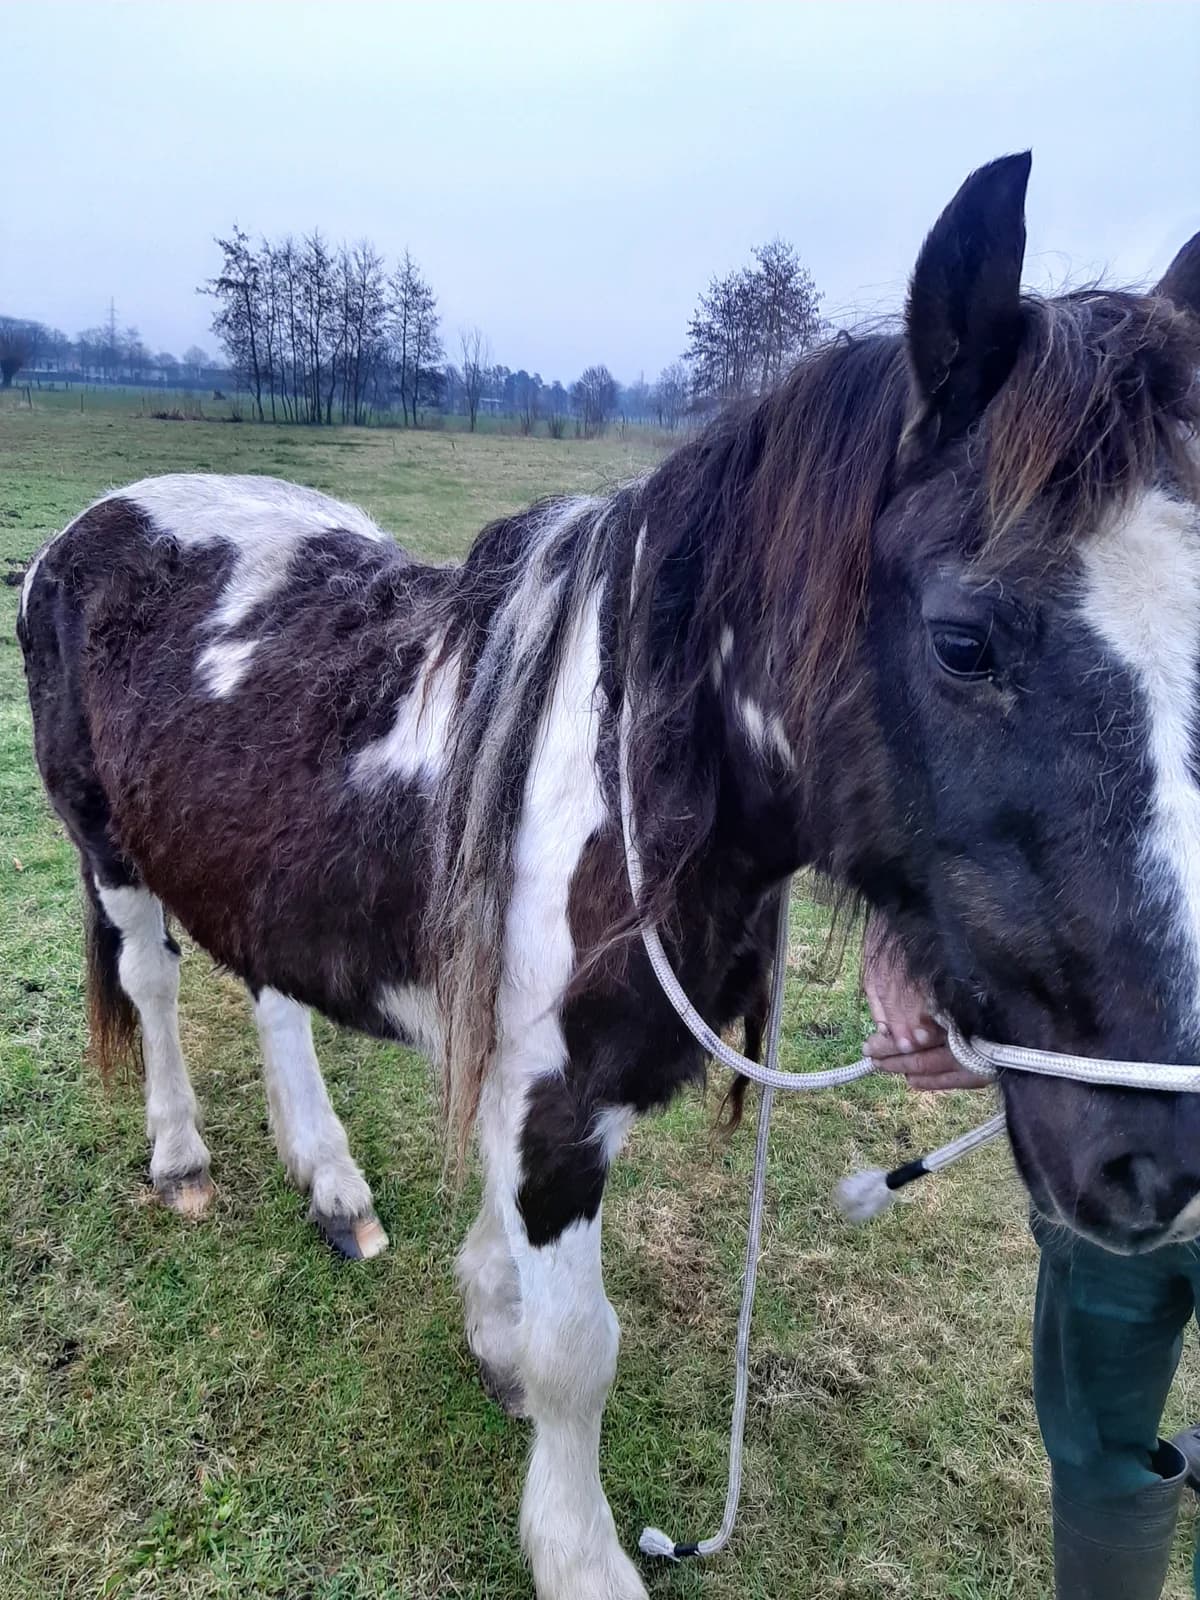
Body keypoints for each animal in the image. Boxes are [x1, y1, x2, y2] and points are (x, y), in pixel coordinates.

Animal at [18, 153, 1200, 1597]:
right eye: (964, 639)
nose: (1161, 1162)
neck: (624, 771)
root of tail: (93, 525)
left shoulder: (559, 1077)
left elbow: (516, 1282)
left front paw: (486, 1323)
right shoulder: (557, 1103)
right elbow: (580, 1351)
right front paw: (579, 1549)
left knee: (273, 992)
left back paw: (333, 1182)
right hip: (109, 847)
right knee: (152, 981)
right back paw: (183, 1157)